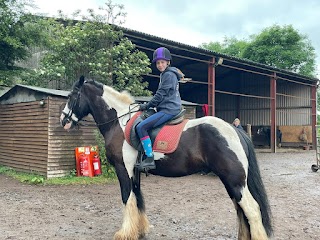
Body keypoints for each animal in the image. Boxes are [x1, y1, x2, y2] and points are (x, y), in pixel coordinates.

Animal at [60, 77, 272, 240]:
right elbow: (138, 198)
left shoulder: (123, 169)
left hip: (235, 181)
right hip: (231, 182)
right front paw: (140, 231)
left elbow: (127, 198)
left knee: (252, 210)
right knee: (241, 210)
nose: (63, 121)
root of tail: (234, 130)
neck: (120, 122)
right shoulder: (135, 172)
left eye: (71, 96)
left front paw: (125, 233)